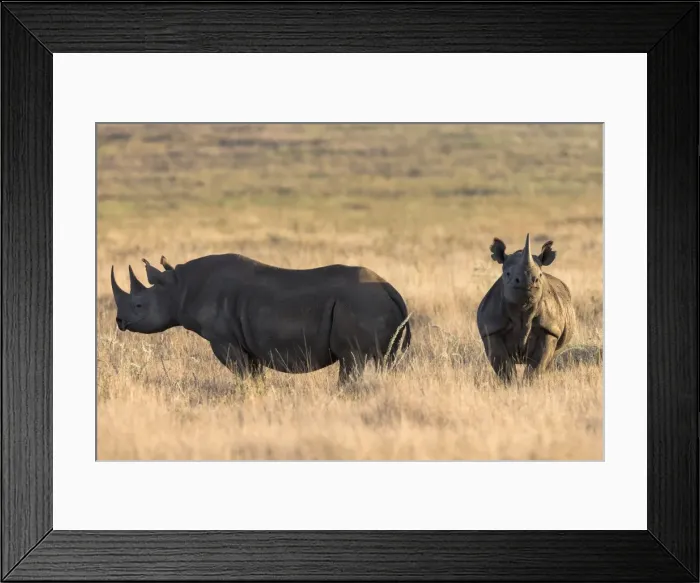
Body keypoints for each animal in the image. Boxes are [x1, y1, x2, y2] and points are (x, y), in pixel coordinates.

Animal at [110, 253, 411, 385]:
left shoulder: (224, 341)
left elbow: (242, 374)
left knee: (352, 360)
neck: (178, 288)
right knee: (385, 362)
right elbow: (255, 375)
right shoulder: (247, 343)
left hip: (360, 304)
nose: (119, 322)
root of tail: (389, 287)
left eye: (138, 305)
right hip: (372, 305)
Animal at [476, 234, 576, 382]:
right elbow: (504, 366)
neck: (523, 310)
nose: (529, 282)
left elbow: (537, 366)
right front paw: (510, 384)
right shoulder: (491, 330)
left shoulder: (549, 329)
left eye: (540, 275)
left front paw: (528, 384)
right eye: (507, 274)